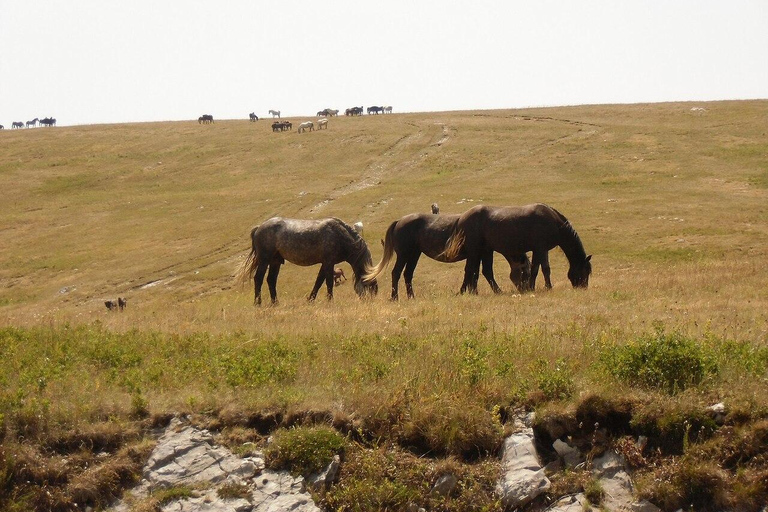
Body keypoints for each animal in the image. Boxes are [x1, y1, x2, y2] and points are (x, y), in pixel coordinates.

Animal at [240, 217, 378, 304]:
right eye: (370, 288)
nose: (370, 302)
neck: (340, 235)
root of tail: (258, 228)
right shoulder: (329, 262)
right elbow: (328, 282)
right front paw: (330, 301)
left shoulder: (325, 263)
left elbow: (319, 282)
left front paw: (311, 299)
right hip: (264, 259)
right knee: (258, 278)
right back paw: (258, 303)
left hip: (275, 261)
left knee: (271, 280)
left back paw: (275, 303)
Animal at [364, 213, 531, 300]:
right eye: (525, 271)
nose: (527, 289)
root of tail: (400, 221)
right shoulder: (479, 253)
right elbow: (481, 272)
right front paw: (494, 291)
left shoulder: (481, 253)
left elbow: (476, 272)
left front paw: (472, 292)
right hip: (404, 254)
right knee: (396, 273)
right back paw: (395, 297)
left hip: (414, 255)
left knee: (407, 274)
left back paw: (411, 297)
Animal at [443, 204, 592, 292]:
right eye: (585, 271)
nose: (583, 287)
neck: (554, 222)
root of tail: (462, 218)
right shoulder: (539, 249)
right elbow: (538, 269)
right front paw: (536, 287)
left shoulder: (542, 249)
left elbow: (543, 269)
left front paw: (544, 286)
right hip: (475, 251)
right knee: (471, 270)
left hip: (484, 250)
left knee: (480, 271)